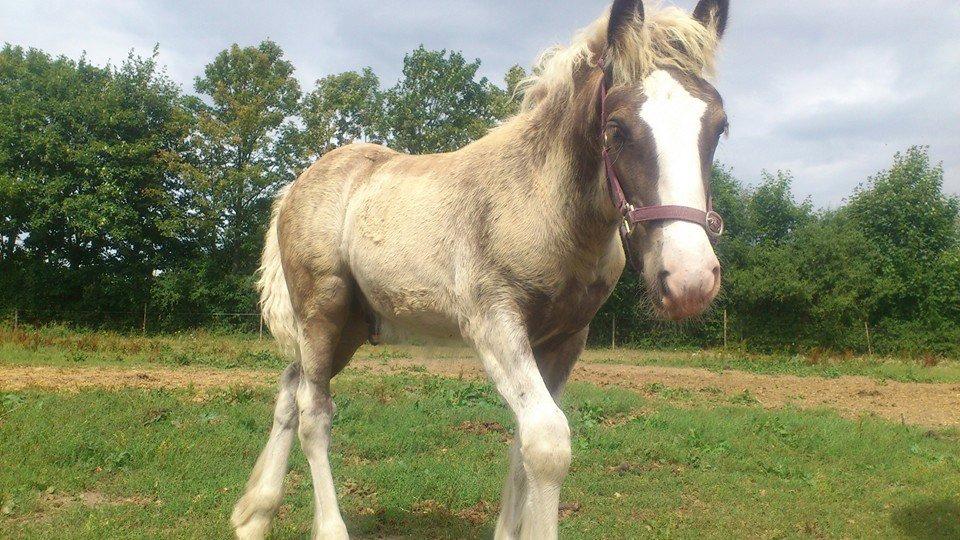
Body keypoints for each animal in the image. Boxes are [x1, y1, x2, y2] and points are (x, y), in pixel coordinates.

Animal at [234, 1, 736, 536]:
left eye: (719, 126)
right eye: (617, 128)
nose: (689, 279)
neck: (542, 203)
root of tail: (295, 186)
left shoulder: (564, 339)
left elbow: (523, 444)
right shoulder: (494, 323)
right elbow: (547, 441)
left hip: (349, 326)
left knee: (290, 389)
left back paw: (254, 516)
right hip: (321, 313)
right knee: (314, 412)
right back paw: (325, 526)